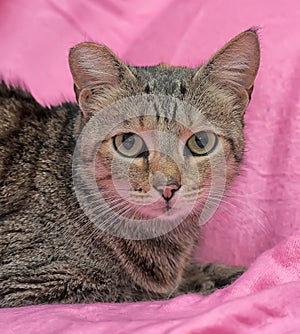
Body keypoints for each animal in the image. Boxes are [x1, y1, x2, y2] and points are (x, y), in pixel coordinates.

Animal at [0, 29, 258, 308]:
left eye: (200, 141)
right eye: (128, 142)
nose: (168, 187)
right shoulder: (28, 282)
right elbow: (139, 290)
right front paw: (207, 282)